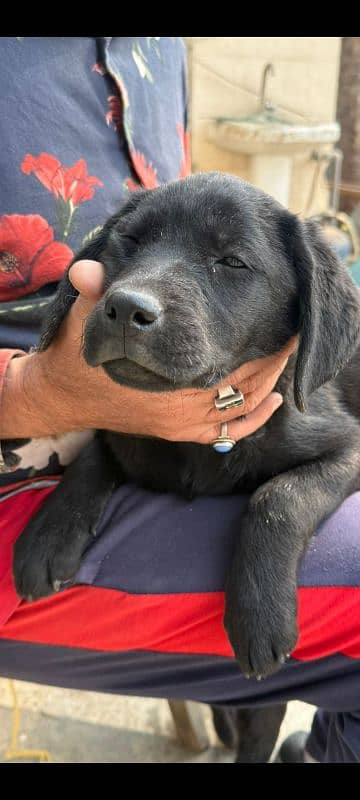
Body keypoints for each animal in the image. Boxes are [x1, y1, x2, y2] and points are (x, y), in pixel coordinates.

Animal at [12, 169, 360, 680]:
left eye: (232, 262)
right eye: (130, 241)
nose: (125, 309)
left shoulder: (347, 444)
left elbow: (279, 496)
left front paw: (260, 611)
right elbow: (97, 450)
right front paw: (50, 533)